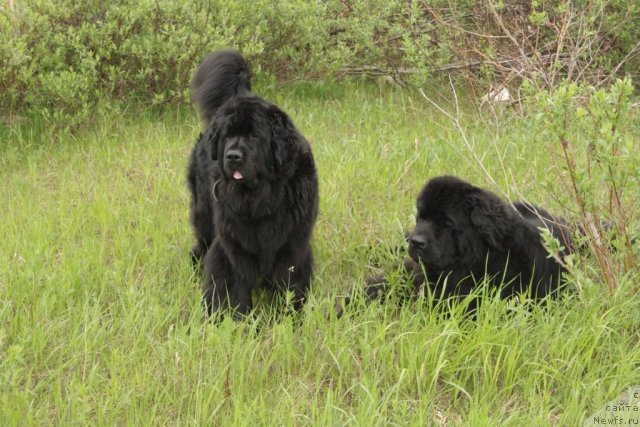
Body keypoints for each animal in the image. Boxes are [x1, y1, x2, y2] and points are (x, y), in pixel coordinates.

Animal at [189, 51, 320, 318]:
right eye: (228, 135)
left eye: (254, 135)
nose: (232, 156)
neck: (262, 197)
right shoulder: (233, 244)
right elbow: (230, 281)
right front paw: (230, 317)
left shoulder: (292, 244)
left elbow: (289, 281)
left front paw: (290, 316)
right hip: (204, 213)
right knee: (202, 242)